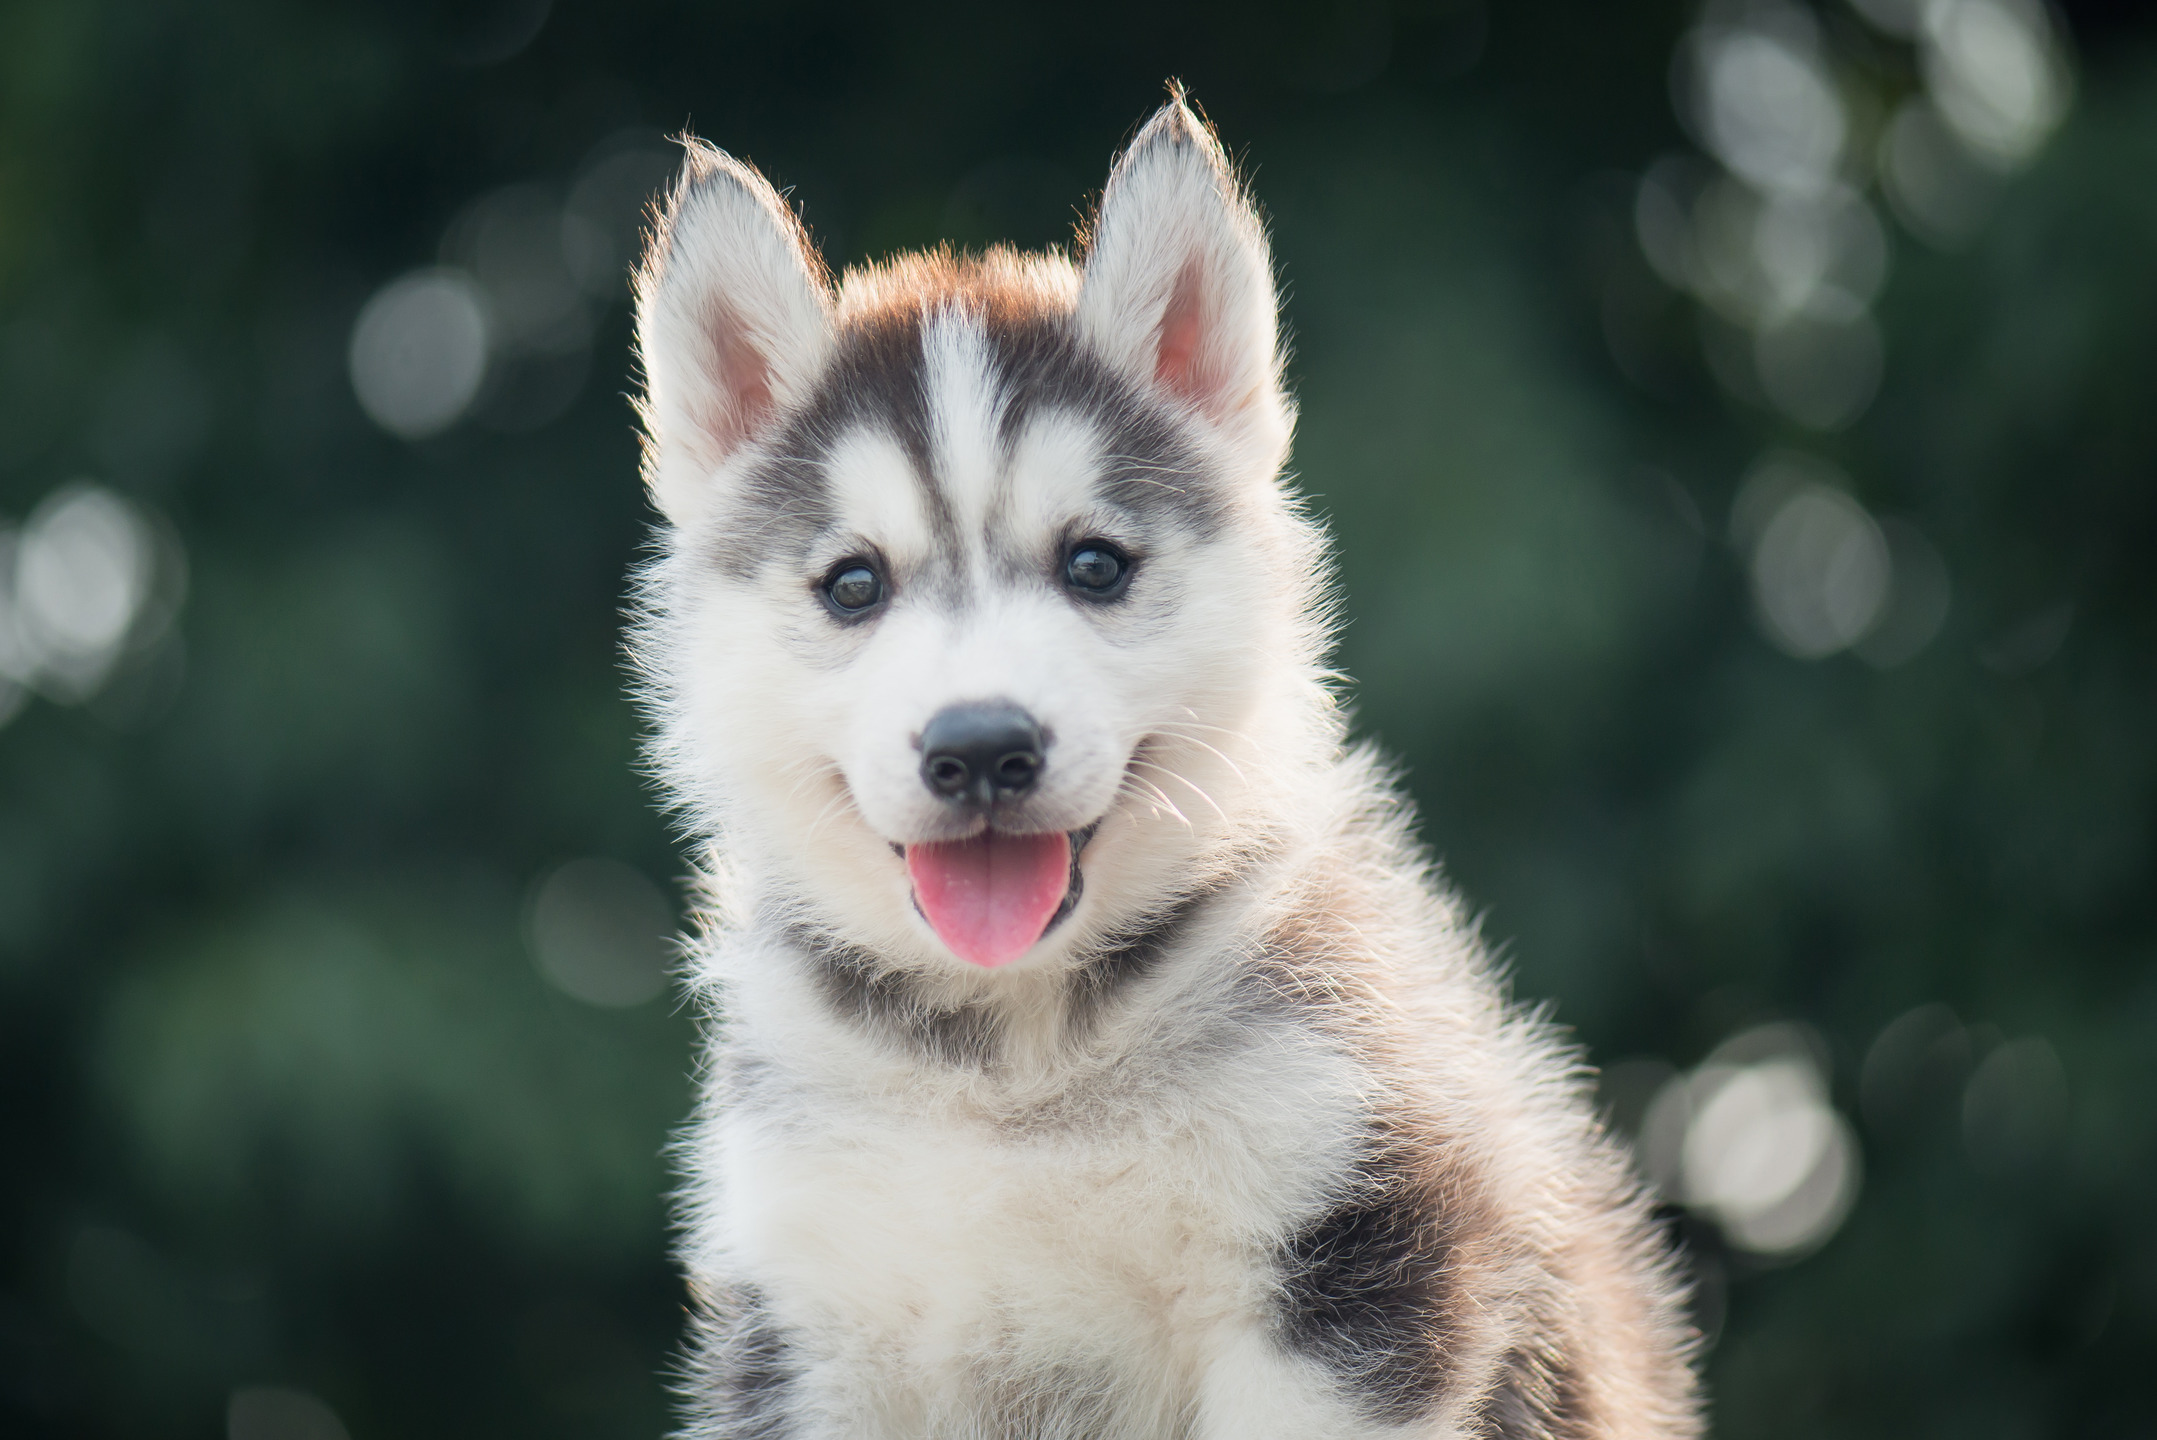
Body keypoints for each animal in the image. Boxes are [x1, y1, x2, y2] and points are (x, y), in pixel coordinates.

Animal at [629, 92, 1699, 1439]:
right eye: (853, 584)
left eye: (1095, 565)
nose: (982, 748)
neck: (1010, 1069)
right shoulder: (808, 1316)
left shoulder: (1349, 1255)